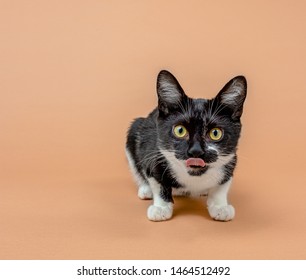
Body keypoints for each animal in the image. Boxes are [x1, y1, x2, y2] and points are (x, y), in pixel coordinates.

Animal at [125, 70, 247, 223]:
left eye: (215, 133)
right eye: (180, 130)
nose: (196, 151)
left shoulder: (231, 160)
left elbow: (222, 185)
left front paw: (220, 206)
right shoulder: (153, 152)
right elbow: (158, 181)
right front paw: (161, 208)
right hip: (135, 129)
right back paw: (146, 189)